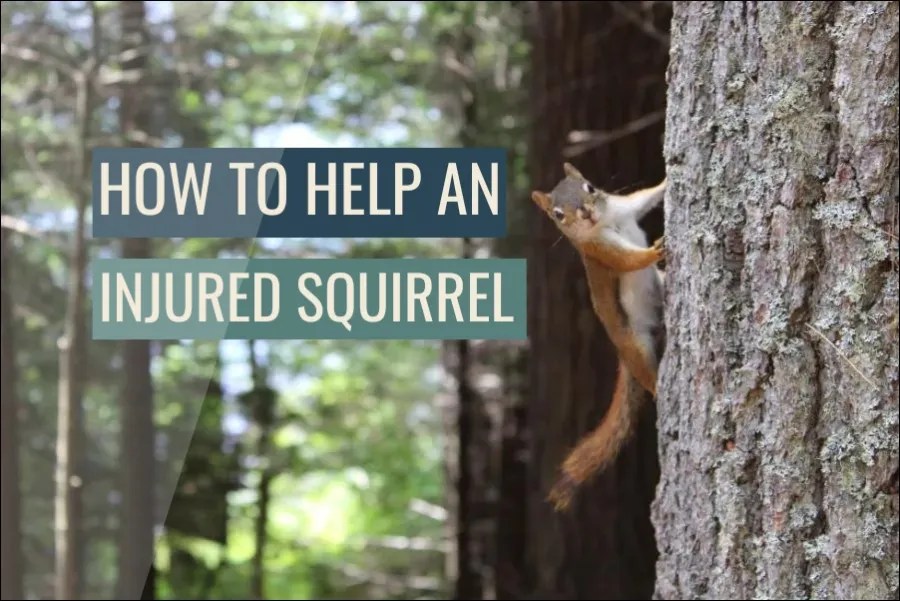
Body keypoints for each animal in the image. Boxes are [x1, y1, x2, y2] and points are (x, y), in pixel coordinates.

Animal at [530, 162, 667, 511]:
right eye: (558, 215)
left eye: (590, 188)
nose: (587, 214)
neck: (606, 221)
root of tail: (622, 356)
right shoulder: (599, 251)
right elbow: (628, 260)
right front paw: (654, 251)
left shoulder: (625, 207)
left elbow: (646, 197)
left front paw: (668, 179)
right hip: (635, 346)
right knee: (647, 375)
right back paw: (658, 388)